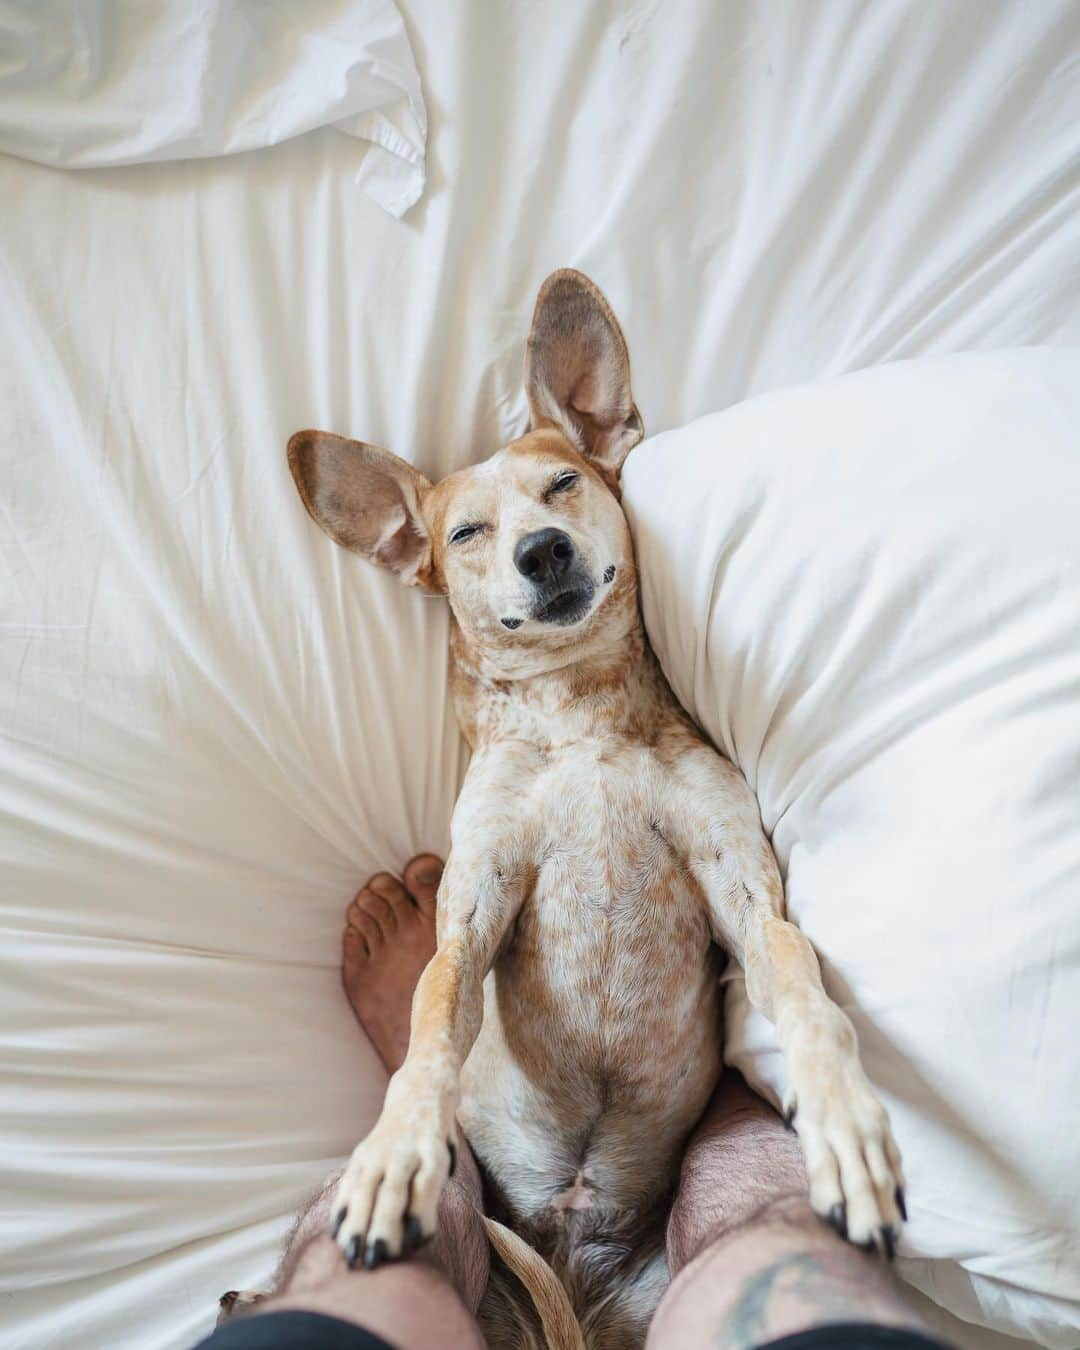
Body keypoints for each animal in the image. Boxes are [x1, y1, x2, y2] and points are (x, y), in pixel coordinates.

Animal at [286, 268, 901, 1344]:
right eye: (465, 533)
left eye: (564, 484)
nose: (542, 550)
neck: (579, 724)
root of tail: (577, 1283)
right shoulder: (476, 909)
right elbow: (432, 1018)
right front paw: (394, 1152)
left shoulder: (741, 886)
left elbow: (802, 989)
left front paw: (844, 1122)